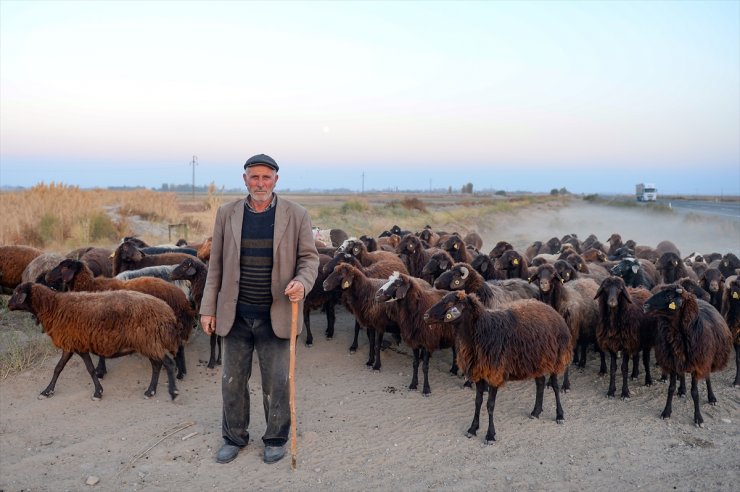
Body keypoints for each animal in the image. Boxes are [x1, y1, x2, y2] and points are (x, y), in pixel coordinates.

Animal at [8, 282, 181, 402]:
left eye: (17, 292)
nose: (8, 304)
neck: (53, 307)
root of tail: (168, 312)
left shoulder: (78, 345)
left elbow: (90, 369)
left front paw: (98, 393)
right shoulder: (72, 345)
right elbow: (58, 368)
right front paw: (46, 391)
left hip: (149, 341)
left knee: (168, 363)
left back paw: (173, 392)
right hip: (150, 343)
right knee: (157, 365)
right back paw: (150, 391)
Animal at [45, 262, 197, 380]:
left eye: (64, 266)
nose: (47, 277)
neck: (90, 286)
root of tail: (180, 295)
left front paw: (100, 371)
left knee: (179, 346)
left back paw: (179, 372)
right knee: (179, 345)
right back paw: (181, 371)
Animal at [422, 290, 572, 444]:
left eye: (450, 303)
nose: (425, 316)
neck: (483, 330)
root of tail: (553, 311)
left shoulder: (494, 373)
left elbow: (490, 405)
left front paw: (490, 435)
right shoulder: (479, 372)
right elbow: (478, 402)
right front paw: (472, 429)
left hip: (556, 358)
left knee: (555, 386)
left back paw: (560, 415)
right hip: (537, 361)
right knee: (540, 383)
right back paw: (536, 412)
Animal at [640, 284, 736, 426]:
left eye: (669, 296)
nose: (645, 305)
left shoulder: (698, 363)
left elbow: (695, 392)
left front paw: (698, 418)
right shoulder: (672, 362)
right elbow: (671, 388)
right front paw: (666, 412)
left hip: (706, 358)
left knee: (707, 376)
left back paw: (711, 398)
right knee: (682, 374)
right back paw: (682, 390)